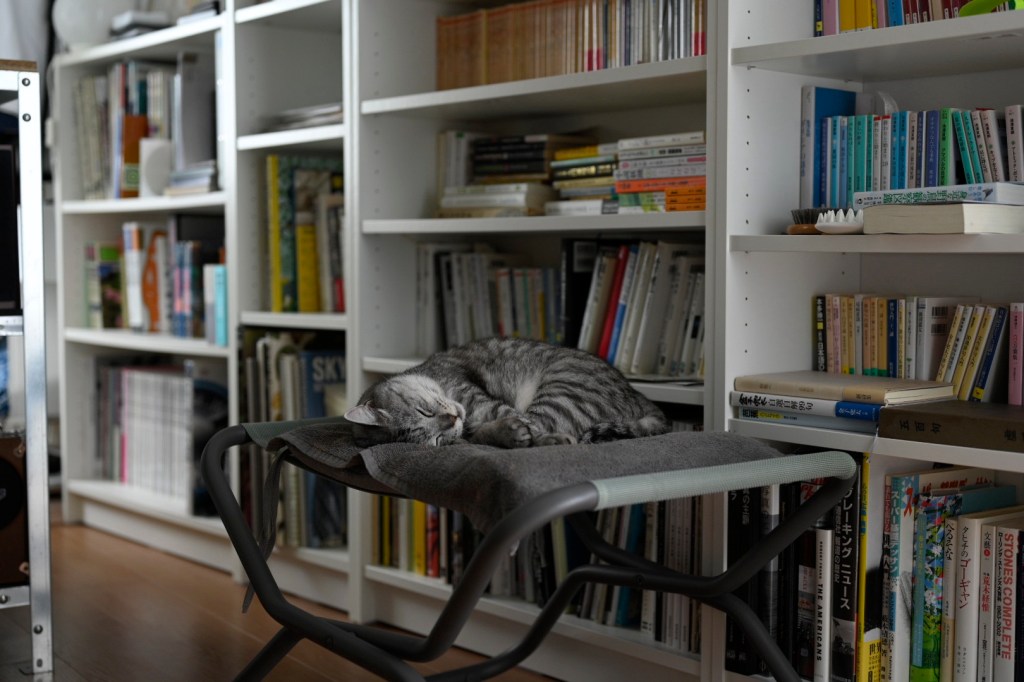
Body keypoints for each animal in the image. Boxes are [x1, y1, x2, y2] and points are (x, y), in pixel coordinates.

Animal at [344, 337, 669, 448]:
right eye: (435, 440)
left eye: (424, 410)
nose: (453, 420)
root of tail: (642, 399)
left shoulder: (481, 401)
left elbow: (520, 423)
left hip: (562, 389)